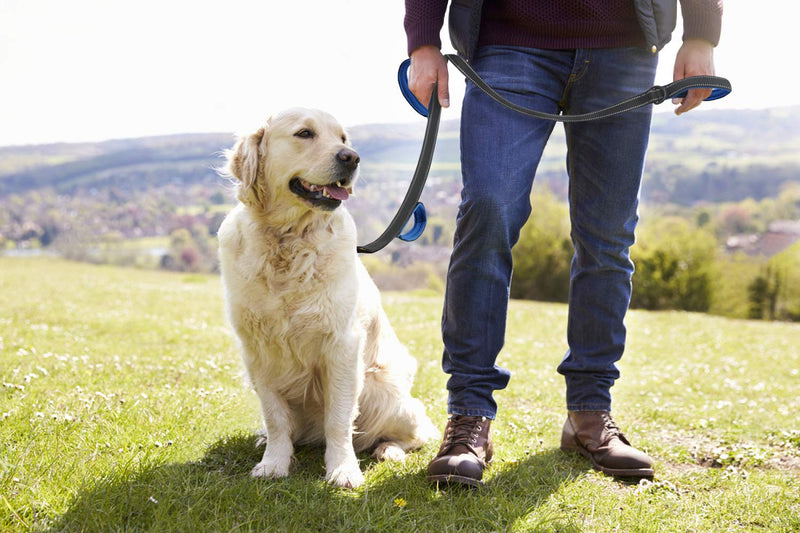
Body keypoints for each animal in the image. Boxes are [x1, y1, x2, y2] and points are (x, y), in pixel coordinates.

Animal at [216, 107, 434, 486]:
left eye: (343, 138)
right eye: (305, 133)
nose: (352, 157)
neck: (288, 241)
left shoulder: (342, 345)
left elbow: (339, 418)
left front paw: (343, 470)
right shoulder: (257, 350)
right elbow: (275, 417)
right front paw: (273, 463)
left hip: (388, 393)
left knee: (414, 434)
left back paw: (388, 450)